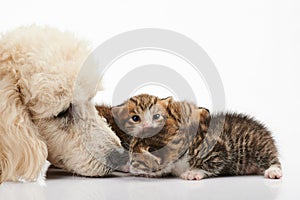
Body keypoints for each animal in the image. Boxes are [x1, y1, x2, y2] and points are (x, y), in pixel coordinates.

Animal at [111, 94, 282, 180]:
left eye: (134, 160)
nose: (129, 166)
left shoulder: (216, 147)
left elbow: (212, 162)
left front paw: (194, 172)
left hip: (257, 145)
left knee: (272, 158)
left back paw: (273, 170)